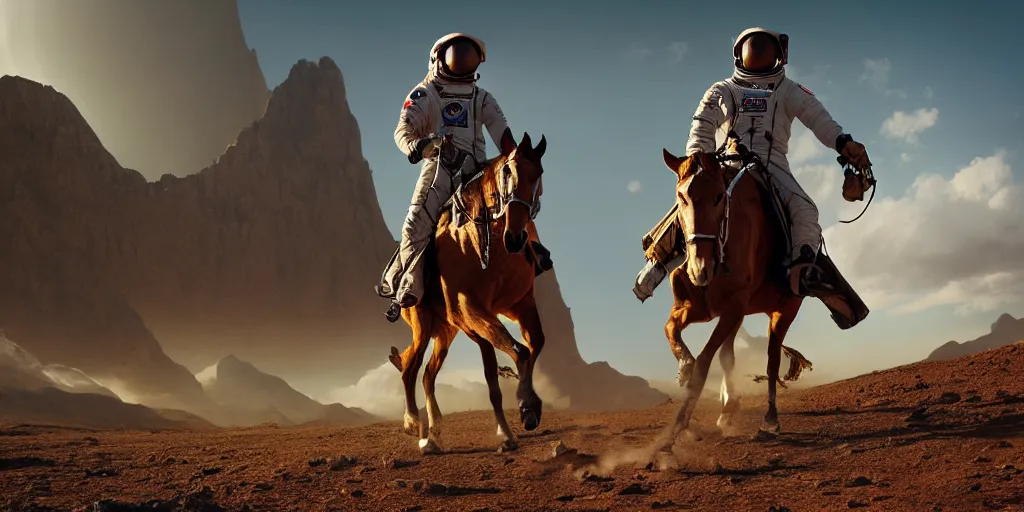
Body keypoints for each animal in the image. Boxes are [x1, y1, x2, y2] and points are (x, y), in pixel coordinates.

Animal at [385, 131, 548, 452]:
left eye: (539, 174)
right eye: (507, 171)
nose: (516, 237)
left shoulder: (520, 304)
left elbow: (533, 345)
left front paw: (528, 409)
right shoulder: (469, 310)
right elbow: (515, 355)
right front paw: (520, 413)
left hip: (446, 332)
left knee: (427, 374)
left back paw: (434, 431)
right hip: (423, 325)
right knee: (410, 367)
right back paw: (415, 426)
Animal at [659, 144, 811, 448]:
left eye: (719, 196)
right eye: (681, 197)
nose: (699, 269)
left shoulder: (732, 309)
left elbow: (704, 363)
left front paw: (676, 430)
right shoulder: (694, 309)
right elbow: (671, 331)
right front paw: (684, 367)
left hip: (783, 310)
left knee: (772, 359)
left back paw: (769, 420)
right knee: (729, 354)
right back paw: (728, 408)